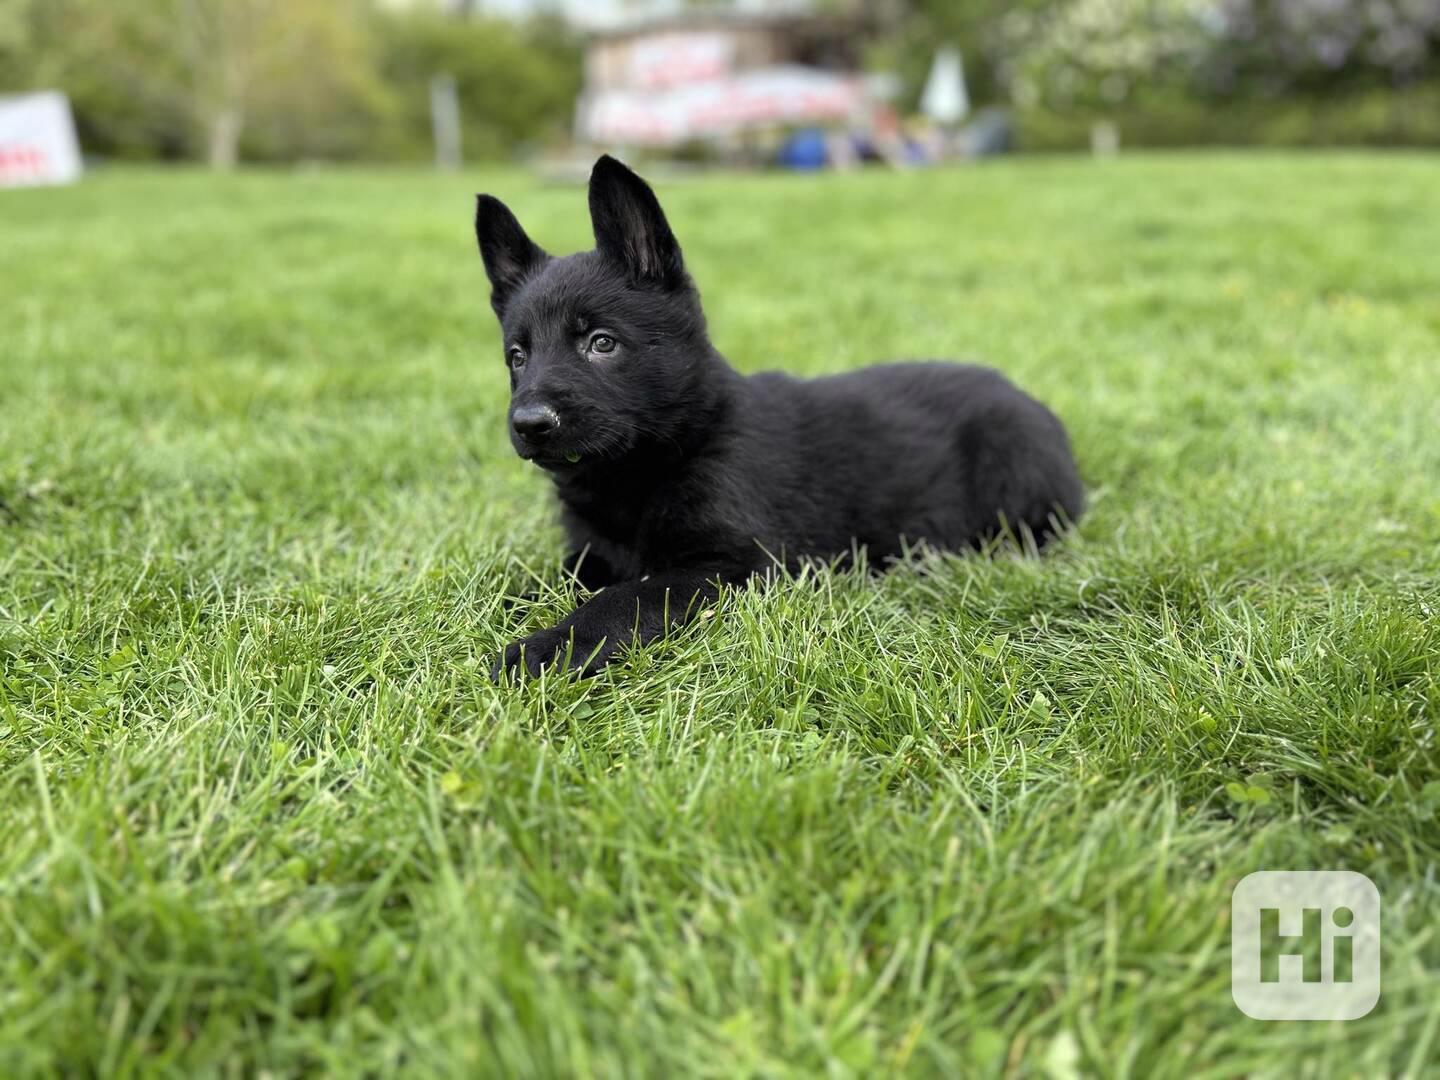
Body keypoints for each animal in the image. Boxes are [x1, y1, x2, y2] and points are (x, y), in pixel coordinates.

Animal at [472, 154, 1082, 676]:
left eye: (601, 343)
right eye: (518, 356)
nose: (529, 424)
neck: (648, 464)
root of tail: (1023, 395)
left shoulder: (735, 565)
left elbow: (628, 596)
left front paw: (549, 646)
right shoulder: (591, 553)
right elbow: (548, 578)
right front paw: (502, 599)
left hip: (1014, 468)